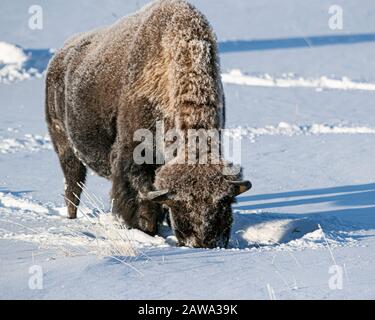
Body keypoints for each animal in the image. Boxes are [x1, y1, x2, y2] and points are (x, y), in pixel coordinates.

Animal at [45, 0, 251, 248]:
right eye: (179, 204)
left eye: (223, 203)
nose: (203, 243)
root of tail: (59, 58)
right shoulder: (134, 159)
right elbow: (141, 201)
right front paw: (145, 230)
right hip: (65, 146)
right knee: (73, 186)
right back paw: (71, 218)